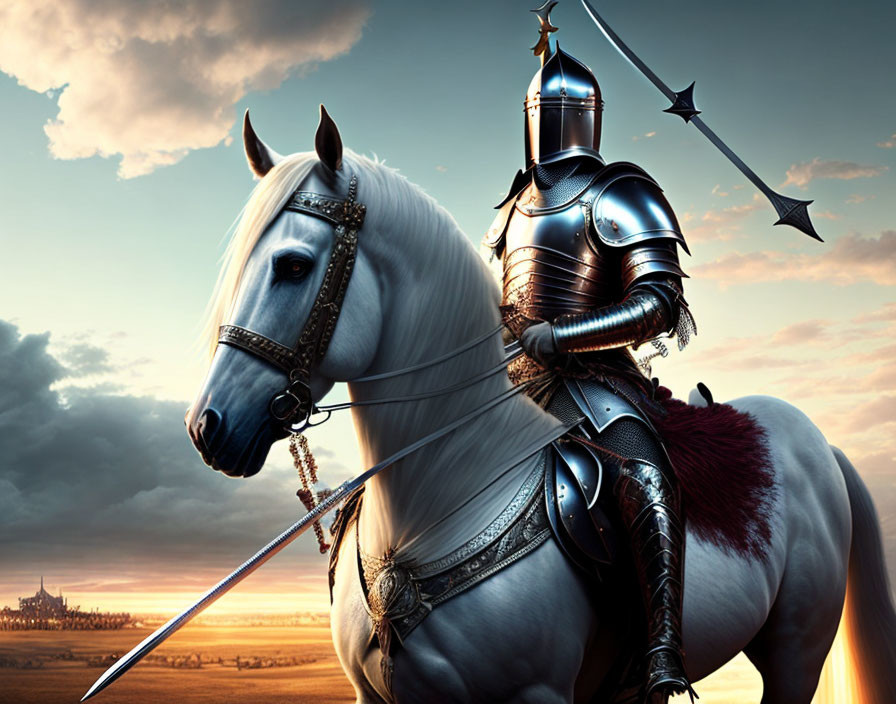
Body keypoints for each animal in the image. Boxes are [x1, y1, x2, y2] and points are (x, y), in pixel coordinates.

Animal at [184, 111, 896, 704]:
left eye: (293, 266)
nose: (207, 428)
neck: (437, 503)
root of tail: (818, 444)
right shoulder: (375, 696)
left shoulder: (538, 694)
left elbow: (658, 293)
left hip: (796, 651)